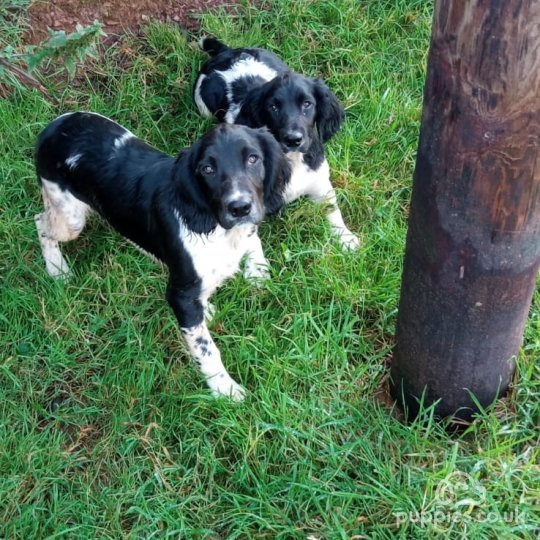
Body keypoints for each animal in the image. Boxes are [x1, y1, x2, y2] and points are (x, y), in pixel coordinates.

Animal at [34, 113, 292, 400]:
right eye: (207, 169)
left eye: (253, 158)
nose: (240, 208)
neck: (215, 227)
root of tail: (53, 126)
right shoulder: (180, 294)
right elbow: (206, 349)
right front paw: (225, 389)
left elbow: (252, 240)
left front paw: (255, 273)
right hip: (70, 216)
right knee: (40, 223)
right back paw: (57, 269)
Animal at [192, 37, 360, 252]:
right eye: (273, 107)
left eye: (307, 104)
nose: (293, 139)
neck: (292, 159)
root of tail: (226, 52)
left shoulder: (319, 181)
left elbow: (332, 208)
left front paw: (346, 238)